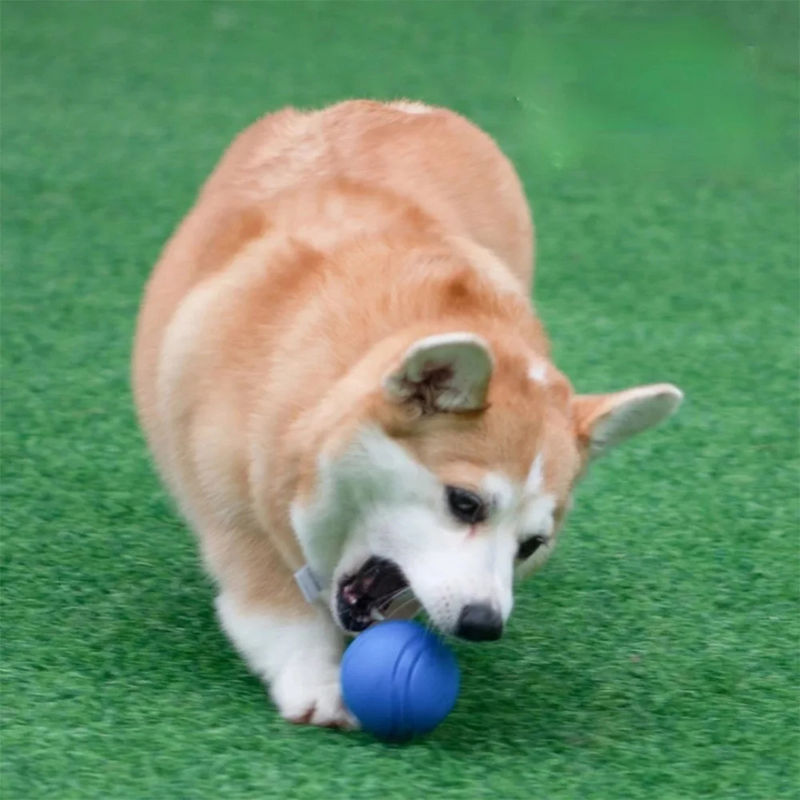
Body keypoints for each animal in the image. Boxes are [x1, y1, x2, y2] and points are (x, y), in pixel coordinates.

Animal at [131, 98, 680, 724]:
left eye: (532, 545)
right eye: (465, 504)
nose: (483, 625)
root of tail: (400, 106)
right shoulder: (234, 508)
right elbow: (273, 602)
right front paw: (317, 682)